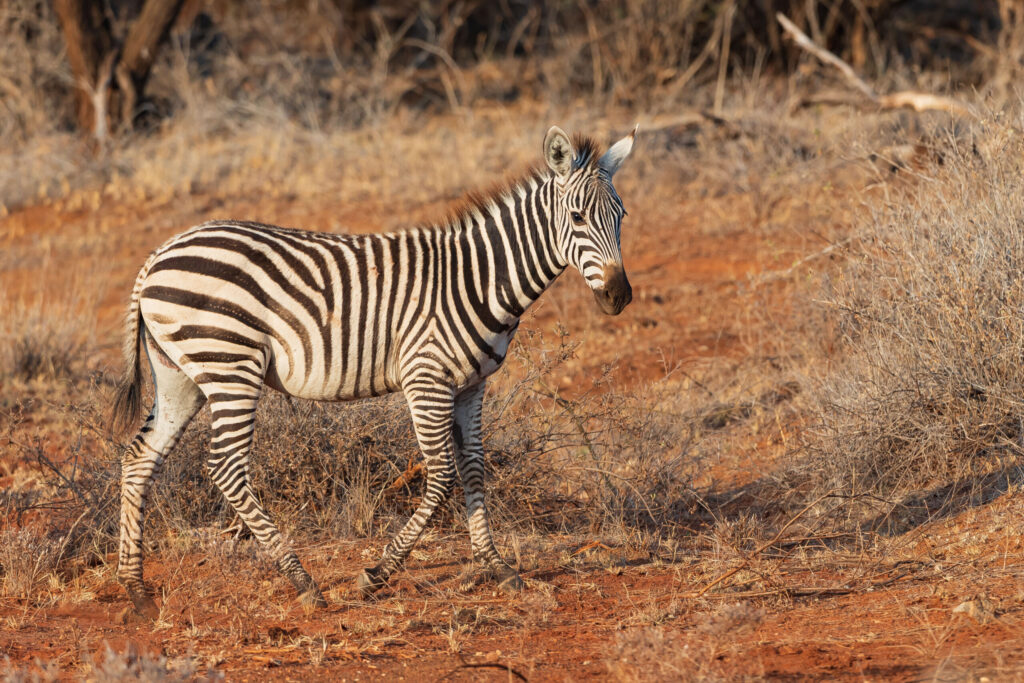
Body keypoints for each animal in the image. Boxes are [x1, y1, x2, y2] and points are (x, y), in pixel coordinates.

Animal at [110, 125, 636, 617]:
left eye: (622, 216)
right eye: (577, 218)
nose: (620, 296)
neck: (478, 279)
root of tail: (160, 253)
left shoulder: (472, 386)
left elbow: (473, 468)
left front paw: (495, 566)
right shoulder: (426, 378)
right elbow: (441, 476)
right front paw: (377, 574)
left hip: (181, 375)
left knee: (139, 458)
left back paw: (136, 589)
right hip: (231, 365)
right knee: (226, 467)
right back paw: (302, 581)